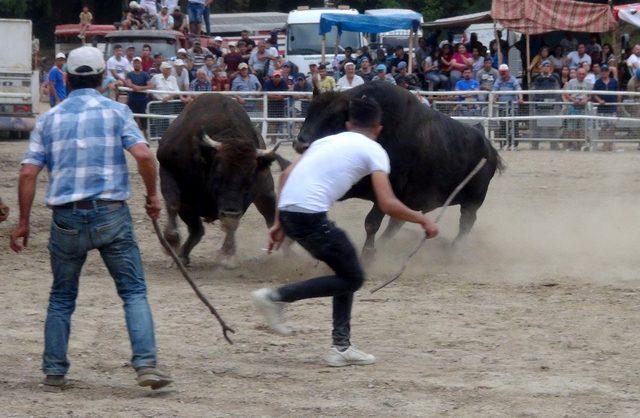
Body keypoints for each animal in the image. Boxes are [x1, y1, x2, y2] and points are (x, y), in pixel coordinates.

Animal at [156, 94, 286, 268]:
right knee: (197, 230)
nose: (230, 209)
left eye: (249, 179)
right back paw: (182, 255)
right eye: (219, 174)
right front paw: (171, 242)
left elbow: (231, 223)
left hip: (266, 193)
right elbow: (172, 205)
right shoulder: (168, 171)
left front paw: (227, 254)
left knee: (270, 214)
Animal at [296, 81, 504, 256]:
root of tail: (488, 146)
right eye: (309, 112)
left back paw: (452, 249)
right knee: (396, 224)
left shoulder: (387, 191)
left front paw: (367, 254)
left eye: (333, 119)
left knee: (466, 223)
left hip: (473, 200)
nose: (301, 143)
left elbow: (371, 223)